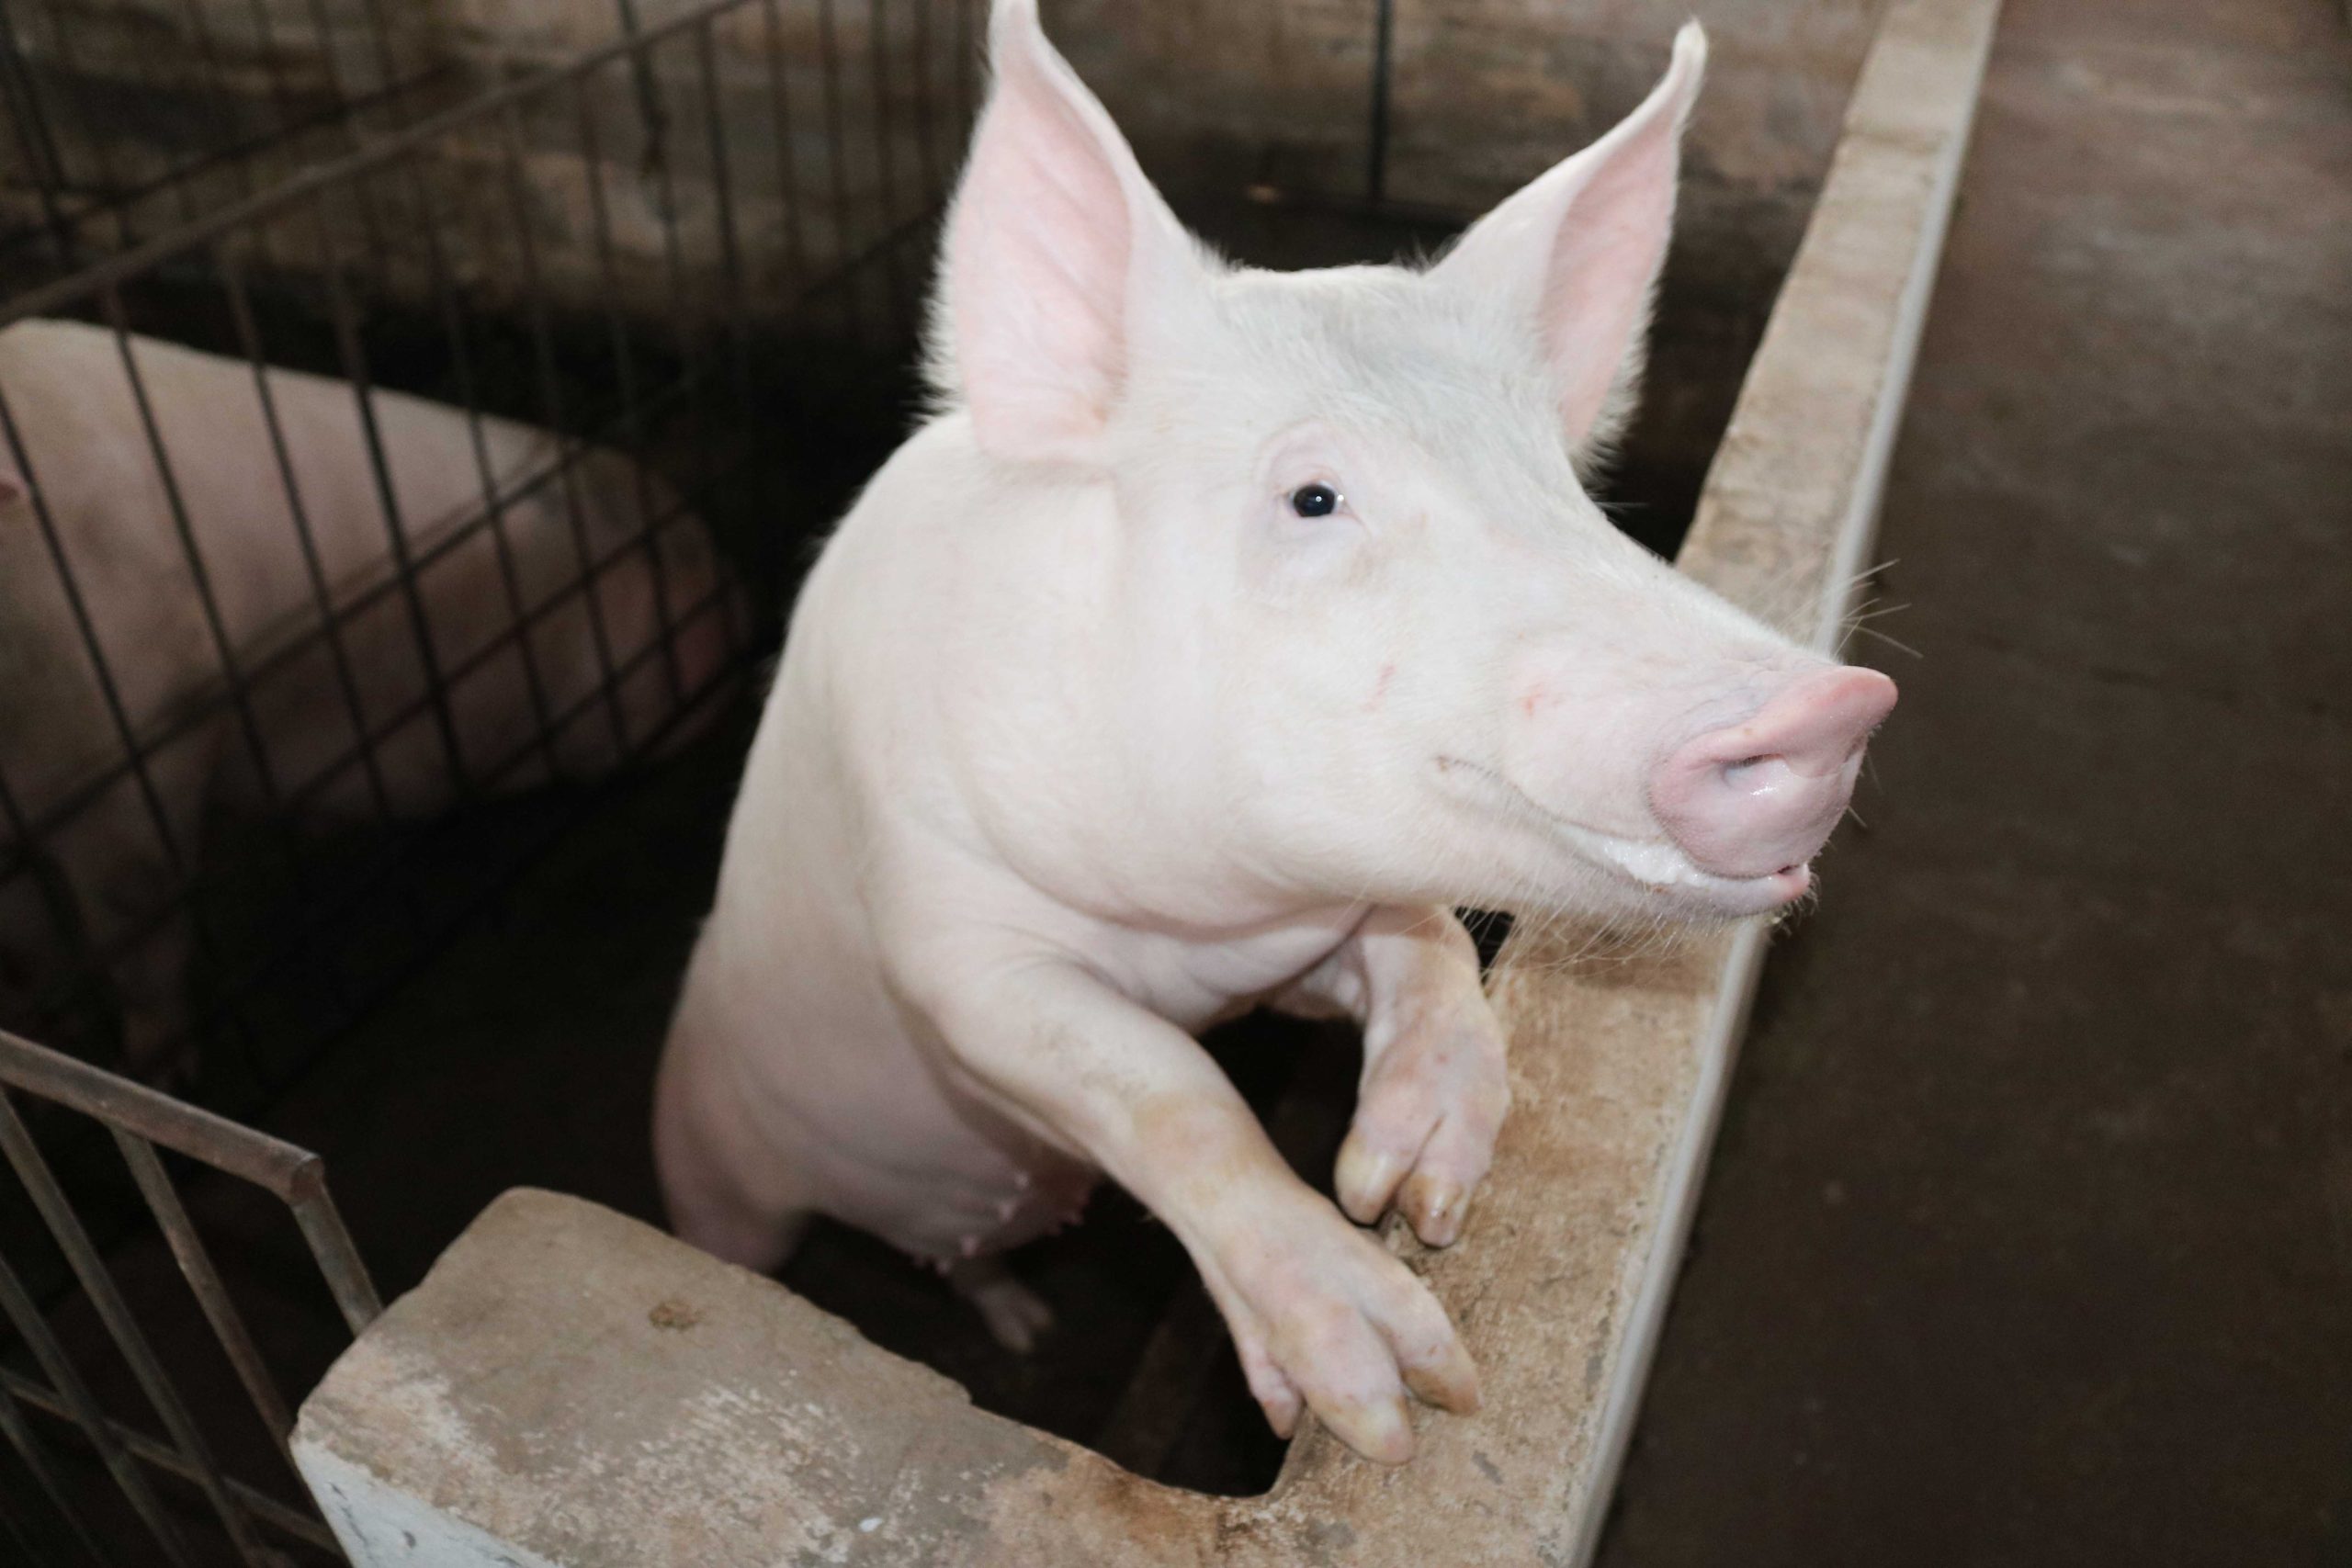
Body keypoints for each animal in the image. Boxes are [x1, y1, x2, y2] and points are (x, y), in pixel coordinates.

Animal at [0, 320, 738, 1081]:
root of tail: (714, 564)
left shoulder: (131, 760)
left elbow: (139, 931)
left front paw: (154, 1072)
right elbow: (25, 940)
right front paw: (39, 1026)